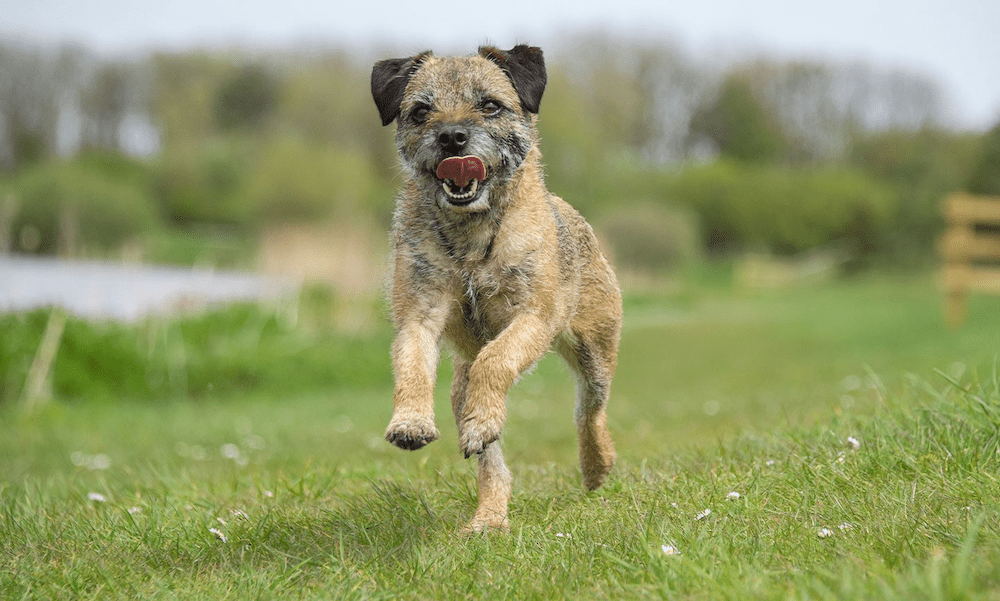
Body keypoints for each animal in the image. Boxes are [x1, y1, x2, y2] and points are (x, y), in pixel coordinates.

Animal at [370, 45, 616, 528]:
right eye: (420, 111)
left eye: (489, 105)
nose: (452, 138)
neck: (470, 233)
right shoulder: (419, 314)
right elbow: (411, 363)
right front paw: (410, 422)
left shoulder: (533, 317)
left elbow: (496, 360)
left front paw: (482, 418)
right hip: (459, 388)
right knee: (492, 462)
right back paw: (490, 516)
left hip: (596, 351)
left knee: (588, 410)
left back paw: (596, 466)